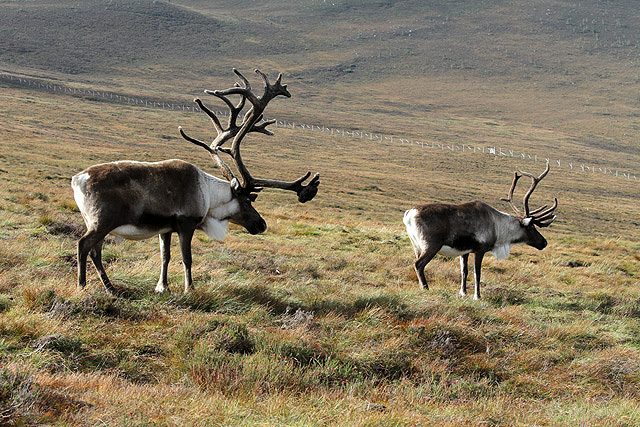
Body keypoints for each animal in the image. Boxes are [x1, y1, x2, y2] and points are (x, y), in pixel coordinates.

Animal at [71, 69, 320, 294]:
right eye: (249, 201)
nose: (262, 224)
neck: (208, 195)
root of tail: (77, 180)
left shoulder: (165, 228)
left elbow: (165, 256)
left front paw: (162, 287)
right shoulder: (186, 223)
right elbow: (186, 258)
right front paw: (189, 288)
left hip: (96, 223)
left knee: (95, 250)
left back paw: (110, 287)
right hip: (102, 221)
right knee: (84, 245)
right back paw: (83, 285)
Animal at [403, 163, 558, 299]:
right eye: (531, 227)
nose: (544, 242)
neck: (497, 227)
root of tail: (408, 214)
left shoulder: (464, 251)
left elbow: (464, 271)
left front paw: (463, 293)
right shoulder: (480, 250)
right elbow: (477, 273)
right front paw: (477, 296)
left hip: (416, 245)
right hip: (431, 245)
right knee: (418, 264)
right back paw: (425, 288)